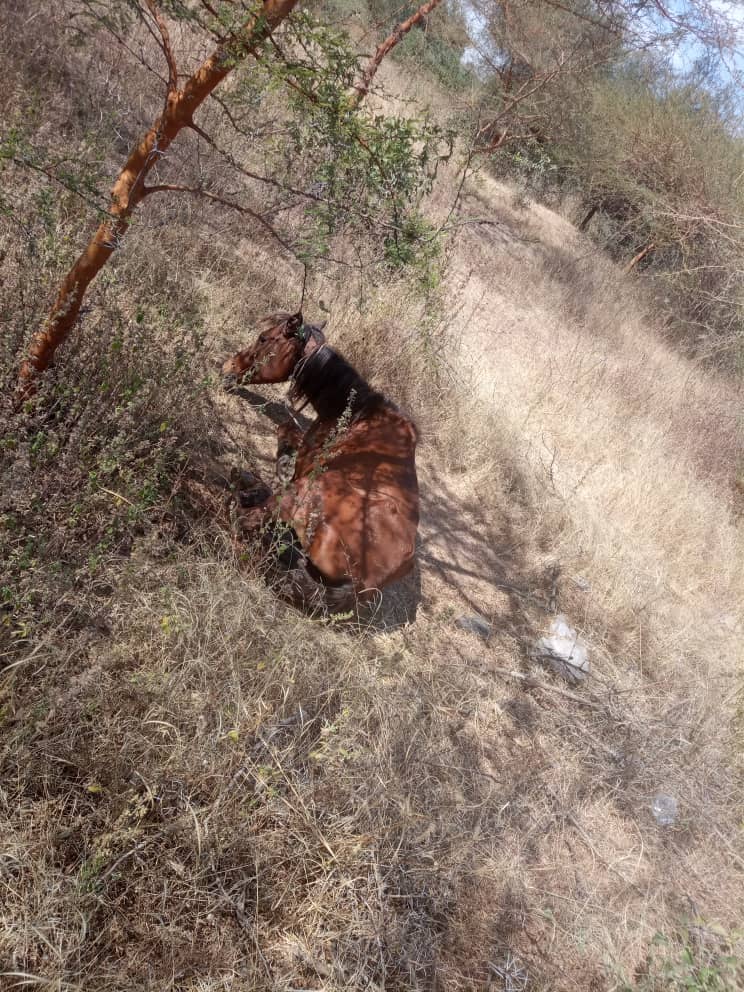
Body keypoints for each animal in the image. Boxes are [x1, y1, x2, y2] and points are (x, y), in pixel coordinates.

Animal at [221, 314, 418, 612]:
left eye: (264, 338)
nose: (227, 368)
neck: (357, 414)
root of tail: (365, 584)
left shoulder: (306, 461)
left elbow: (285, 430)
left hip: (304, 492)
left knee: (246, 518)